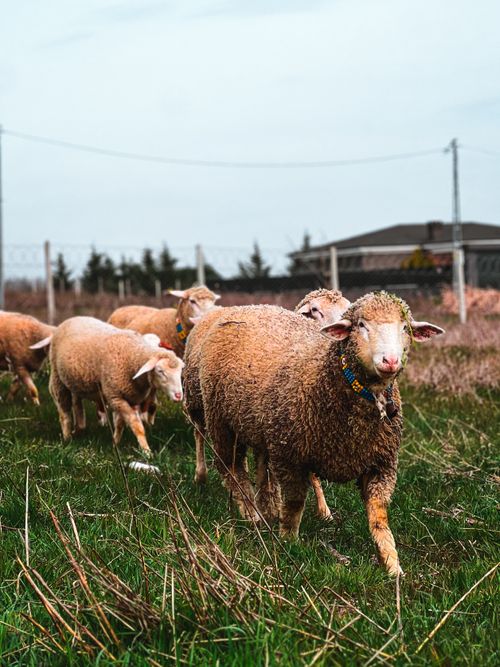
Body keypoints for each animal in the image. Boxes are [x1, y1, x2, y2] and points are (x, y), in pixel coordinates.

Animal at [48, 316, 184, 455]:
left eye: (180, 371)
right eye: (160, 371)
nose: (179, 396)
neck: (132, 358)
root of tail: (73, 318)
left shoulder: (128, 397)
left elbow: (119, 424)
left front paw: (115, 445)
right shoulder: (115, 396)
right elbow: (136, 425)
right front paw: (146, 452)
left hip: (75, 382)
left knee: (77, 404)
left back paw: (78, 429)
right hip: (57, 378)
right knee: (64, 412)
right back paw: (67, 438)